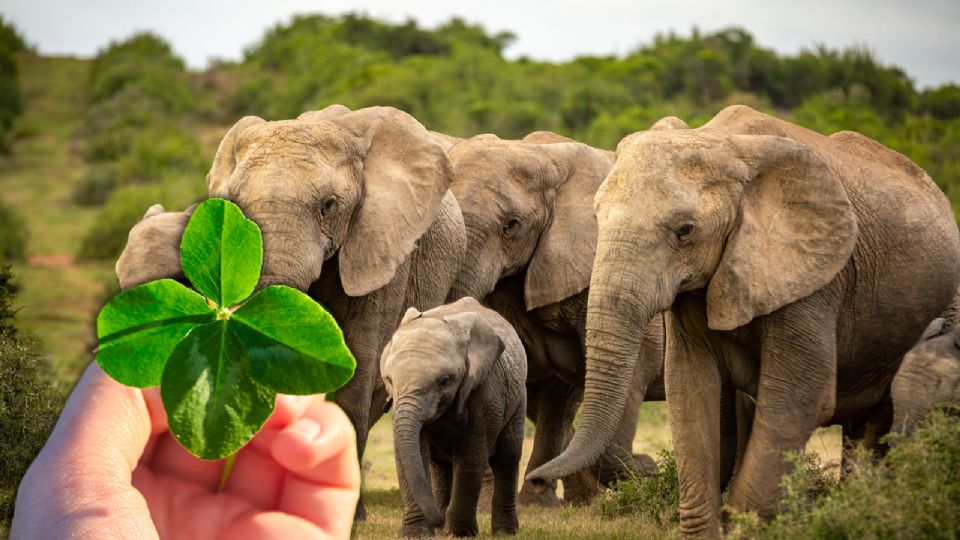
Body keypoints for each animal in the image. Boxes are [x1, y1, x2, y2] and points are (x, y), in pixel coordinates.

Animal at [380, 298, 524, 536]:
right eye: (389, 380)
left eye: (445, 381)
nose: (438, 521)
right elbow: (409, 452)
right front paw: (416, 535)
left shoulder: (486, 391)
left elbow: (472, 455)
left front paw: (460, 533)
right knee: (440, 465)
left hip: (518, 397)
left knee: (508, 456)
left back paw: (505, 533)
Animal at [528, 104, 960, 536]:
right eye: (597, 217)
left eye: (685, 231)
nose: (536, 480)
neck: (721, 142)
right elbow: (691, 390)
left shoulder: (810, 280)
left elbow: (798, 398)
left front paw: (745, 525)